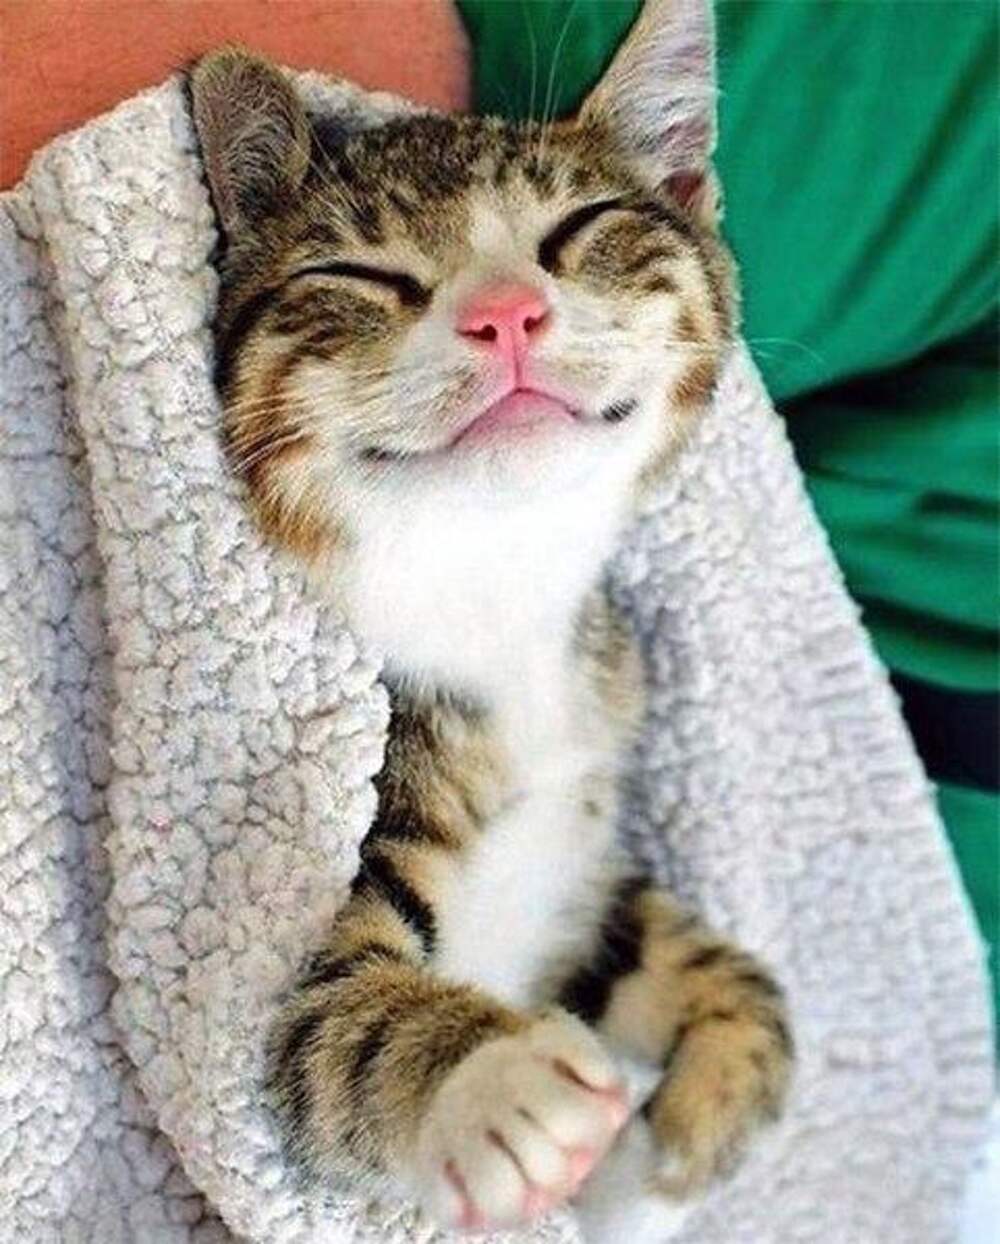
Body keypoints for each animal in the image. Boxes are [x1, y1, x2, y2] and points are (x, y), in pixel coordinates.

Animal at [189, 1, 792, 1238]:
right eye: (362, 272)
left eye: (580, 225)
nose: (503, 312)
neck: (489, 597)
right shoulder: (290, 930)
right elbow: (322, 1028)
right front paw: (497, 1083)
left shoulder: (586, 820)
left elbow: (708, 970)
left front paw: (672, 1149)